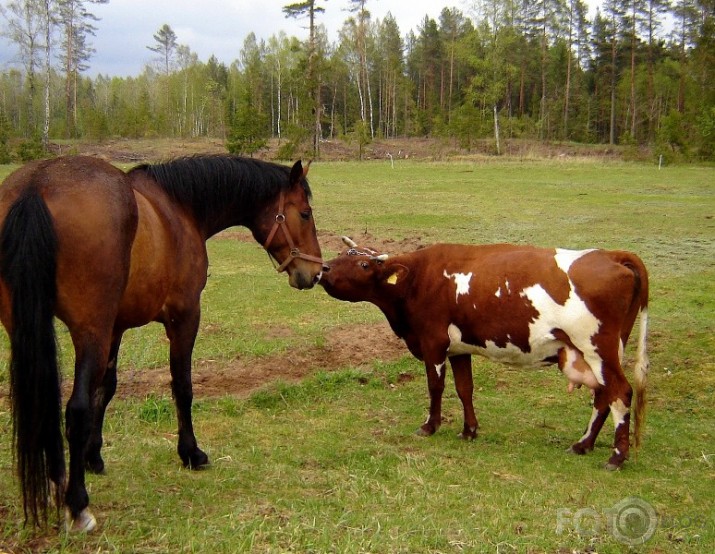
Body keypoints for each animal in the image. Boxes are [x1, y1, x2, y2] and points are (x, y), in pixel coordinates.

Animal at [0, 154, 324, 532]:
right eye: (305, 213)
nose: (316, 272)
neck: (179, 208)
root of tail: (36, 186)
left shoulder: (115, 327)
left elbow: (106, 389)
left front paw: (94, 456)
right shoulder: (183, 317)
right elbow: (182, 387)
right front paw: (191, 452)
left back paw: (58, 486)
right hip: (89, 331)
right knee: (74, 410)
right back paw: (77, 505)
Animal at [318, 235, 648, 468]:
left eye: (364, 265)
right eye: (344, 255)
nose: (323, 268)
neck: (418, 278)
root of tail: (611, 254)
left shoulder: (433, 342)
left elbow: (435, 386)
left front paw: (430, 426)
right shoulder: (458, 348)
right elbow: (465, 388)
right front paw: (469, 431)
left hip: (597, 348)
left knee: (620, 392)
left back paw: (616, 457)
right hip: (602, 352)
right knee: (604, 395)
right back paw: (583, 445)